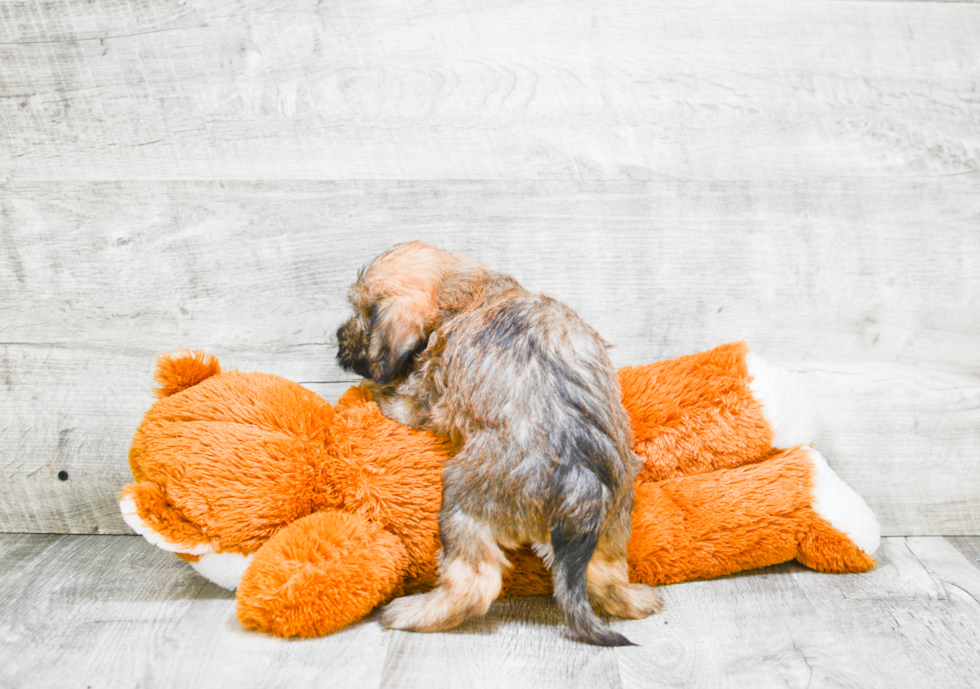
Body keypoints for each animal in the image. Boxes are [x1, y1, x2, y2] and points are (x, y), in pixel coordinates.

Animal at [334, 242, 664, 644]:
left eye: (362, 314)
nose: (339, 335)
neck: (467, 290)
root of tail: (579, 481)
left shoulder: (424, 399)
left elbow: (401, 398)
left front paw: (372, 390)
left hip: (462, 499)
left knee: (474, 584)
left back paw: (413, 612)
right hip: (616, 514)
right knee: (606, 574)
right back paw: (638, 600)